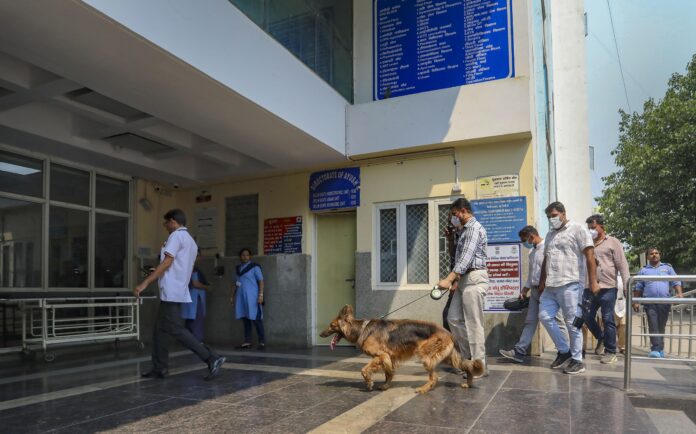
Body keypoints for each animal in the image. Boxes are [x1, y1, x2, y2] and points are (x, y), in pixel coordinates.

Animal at [319, 305, 485, 394]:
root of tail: (448, 332)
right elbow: (388, 373)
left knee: (434, 377)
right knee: (467, 366)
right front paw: (386, 385)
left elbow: (364, 369)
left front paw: (369, 383)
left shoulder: (381, 355)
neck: (361, 329)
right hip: (449, 358)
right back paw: (468, 383)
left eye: (331, 325)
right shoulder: (388, 358)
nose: (320, 334)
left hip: (426, 357)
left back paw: (423, 389)